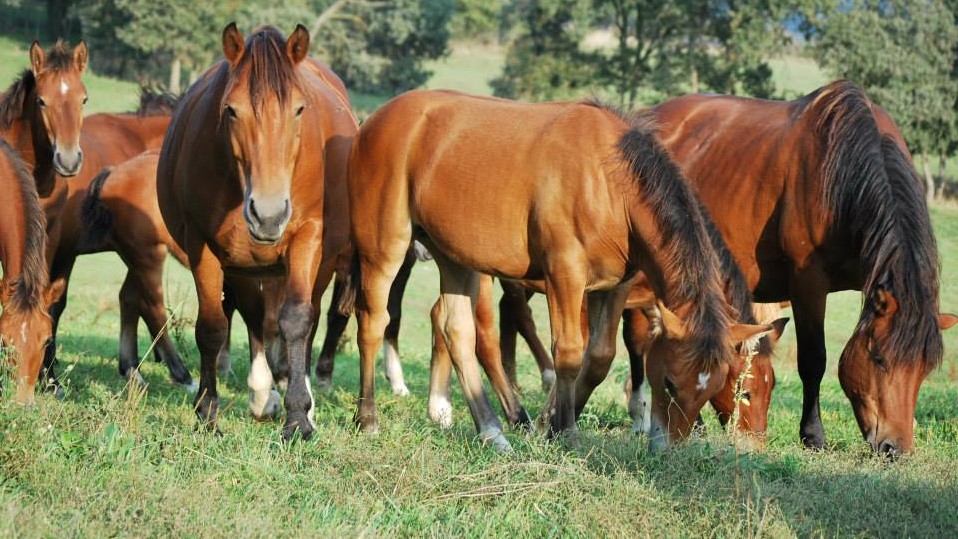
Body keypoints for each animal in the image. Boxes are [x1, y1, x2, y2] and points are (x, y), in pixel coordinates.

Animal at [157, 23, 357, 440]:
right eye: (231, 110)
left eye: (299, 109)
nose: (268, 215)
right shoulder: (205, 247)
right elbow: (212, 327)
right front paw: (207, 412)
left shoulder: (307, 239)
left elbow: (296, 321)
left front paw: (299, 418)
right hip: (245, 266)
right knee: (254, 318)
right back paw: (262, 392)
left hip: (320, 262)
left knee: (304, 318)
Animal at [345, 90, 769, 451]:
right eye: (668, 381)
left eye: (715, 387)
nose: (669, 449)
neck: (609, 183)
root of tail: (376, 118)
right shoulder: (564, 275)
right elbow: (567, 353)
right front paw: (564, 431)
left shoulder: (616, 286)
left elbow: (598, 358)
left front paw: (550, 422)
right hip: (386, 246)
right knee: (373, 321)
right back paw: (368, 419)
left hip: (455, 257)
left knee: (456, 330)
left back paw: (491, 431)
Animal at [650, 80, 958, 455]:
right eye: (880, 358)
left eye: (925, 369)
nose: (894, 449)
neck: (841, 173)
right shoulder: (808, 284)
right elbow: (814, 360)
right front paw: (813, 435)